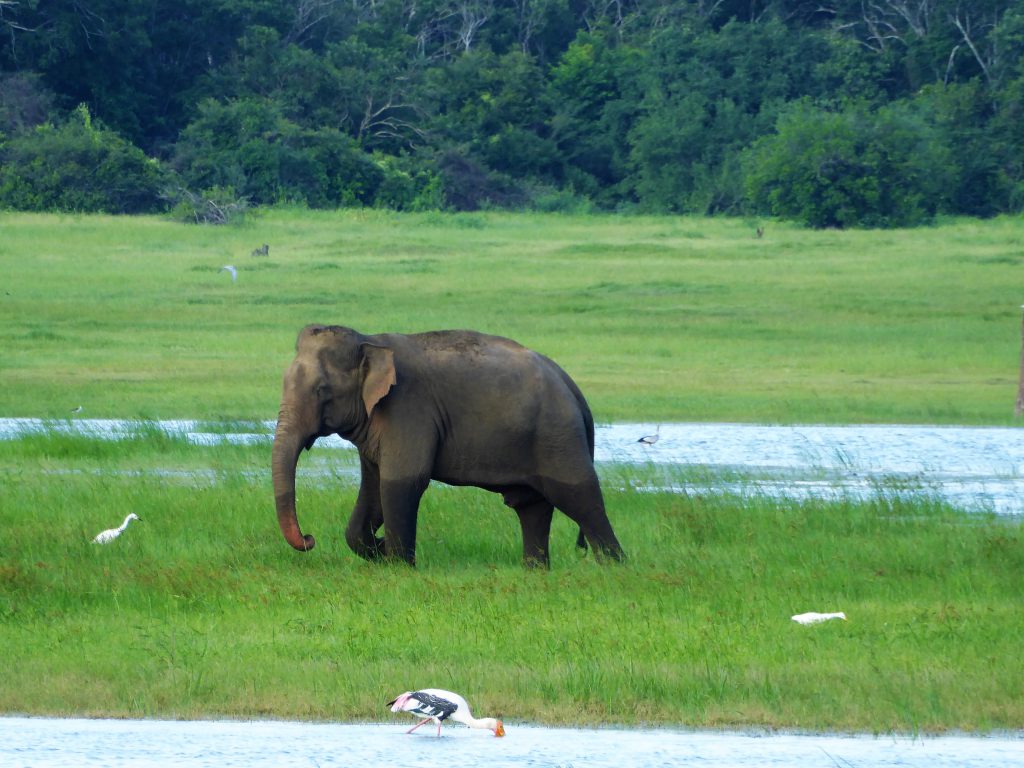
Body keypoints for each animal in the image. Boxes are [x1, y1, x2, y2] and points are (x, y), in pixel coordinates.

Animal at [272, 321, 622, 569]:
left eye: (321, 389)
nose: (309, 538)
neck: (368, 339)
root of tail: (570, 384)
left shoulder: (408, 408)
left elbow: (401, 482)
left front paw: (398, 565)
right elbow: (372, 489)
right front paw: (381, 549)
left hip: (557, 435)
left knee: (581, 498)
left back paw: (613, 569)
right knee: (532, 506)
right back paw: (535, 570)